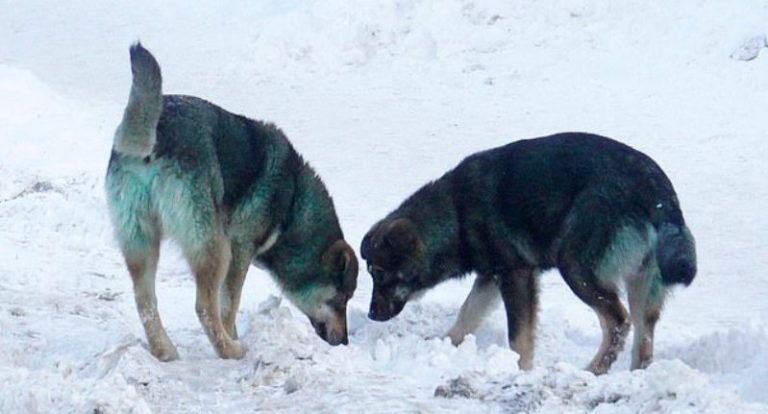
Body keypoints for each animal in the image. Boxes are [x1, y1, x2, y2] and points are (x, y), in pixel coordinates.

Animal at [105, 44, 356, 360]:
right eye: (342, 299)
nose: (345, 341)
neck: (292, 205)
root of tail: (155, 135)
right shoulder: (240, 249)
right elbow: (229, 306)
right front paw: (233, 336)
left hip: (141, 241)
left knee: (145, 302)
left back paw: (165, 351)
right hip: (215, 246)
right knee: (203, 307)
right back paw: (230, 350)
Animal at [360, 134, 696, 374]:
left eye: (380, 273)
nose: (372, 314)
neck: (455, 213)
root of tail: (657, 195)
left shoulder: (515, 275)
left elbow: (518, 335)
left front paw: (520, 369)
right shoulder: (491, 276)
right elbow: (468, 312)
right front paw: (447, 342)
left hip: (576, 267)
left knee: (618, 321)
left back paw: (595, 369)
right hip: (643, 281)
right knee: (643, 337)